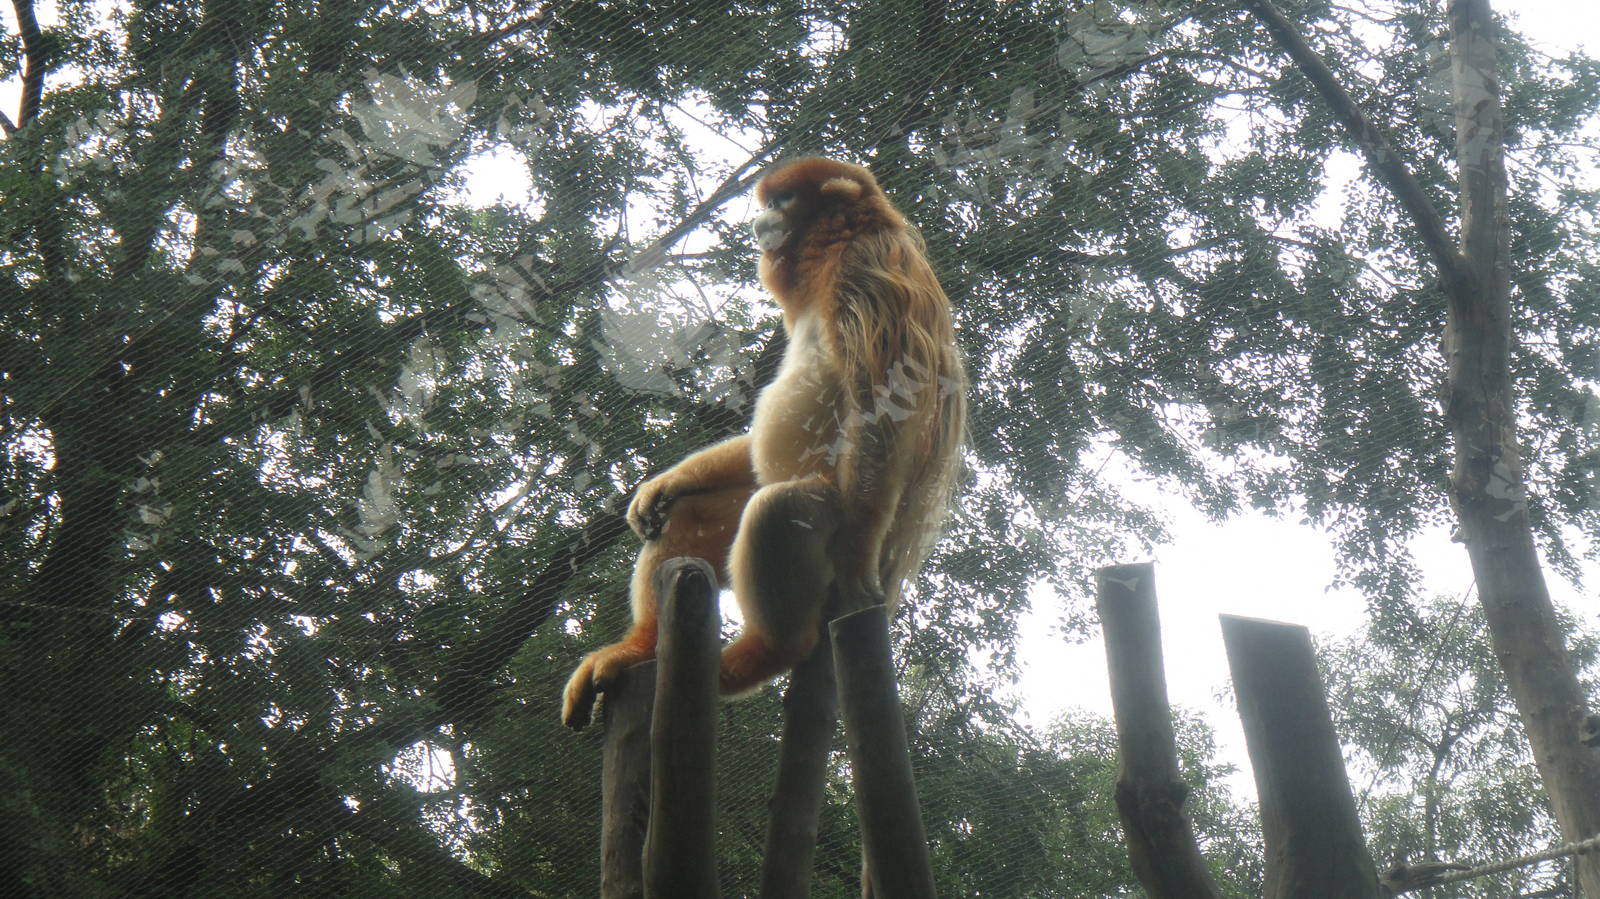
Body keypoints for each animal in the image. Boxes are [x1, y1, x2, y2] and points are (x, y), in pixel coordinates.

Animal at [562, 157, 966, 729]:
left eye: (781, 202)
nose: (760, 220)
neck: (842, 242)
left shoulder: (865, 272)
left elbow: (881, 408)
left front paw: (856, 559)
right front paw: (666, 481)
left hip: (832, 550)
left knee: (780, 506)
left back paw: (767, 652)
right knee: (698, 511)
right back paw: (637, 650)